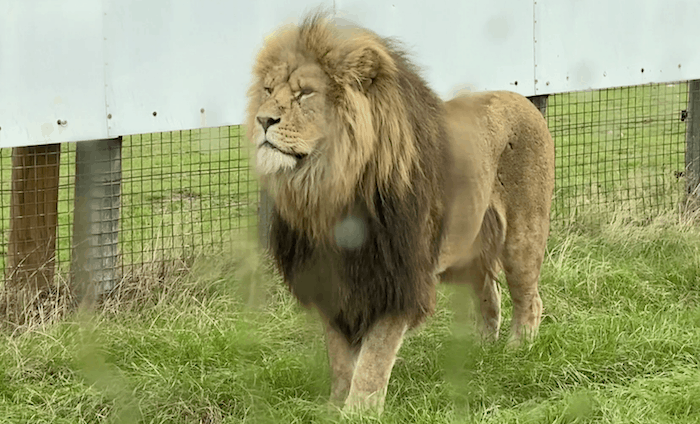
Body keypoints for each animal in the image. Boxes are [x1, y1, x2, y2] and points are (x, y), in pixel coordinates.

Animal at [246, 13, 555, 413]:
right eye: (268, 90)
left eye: (305, 94)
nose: (262, 120)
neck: (330, 190)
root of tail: (521, 98)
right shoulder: (334, 282)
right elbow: (341, 359)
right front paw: (334, 406)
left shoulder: (399, 280)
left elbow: (373, 360)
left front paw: (358, 412)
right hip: (464, 247)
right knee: (490, 290)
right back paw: (482, 352)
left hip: (522, 238)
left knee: (529, 298)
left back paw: (519, 351)